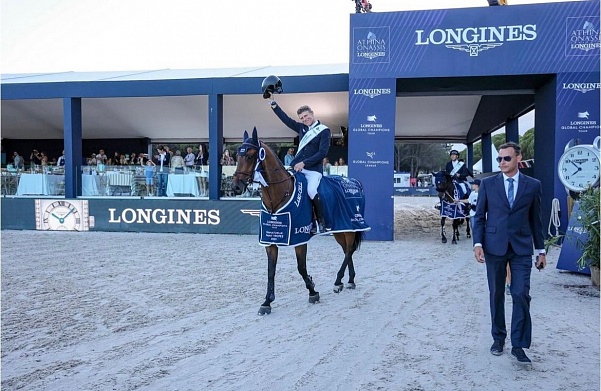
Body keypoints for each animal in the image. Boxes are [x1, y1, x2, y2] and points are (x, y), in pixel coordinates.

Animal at [231, 129, 364, 316]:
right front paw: (267, 302)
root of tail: (354, 182)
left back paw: (338, 281)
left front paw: (313, 291)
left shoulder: (299, 238)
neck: (278, 195)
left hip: (350, 226)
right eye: (237, 156)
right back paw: (350, 280)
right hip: (340, 229)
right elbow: (270, 271)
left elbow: (301, 267)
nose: (235, 187)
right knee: (347, 250)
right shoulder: (270, 239)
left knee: (349, 250)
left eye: (250, 156)